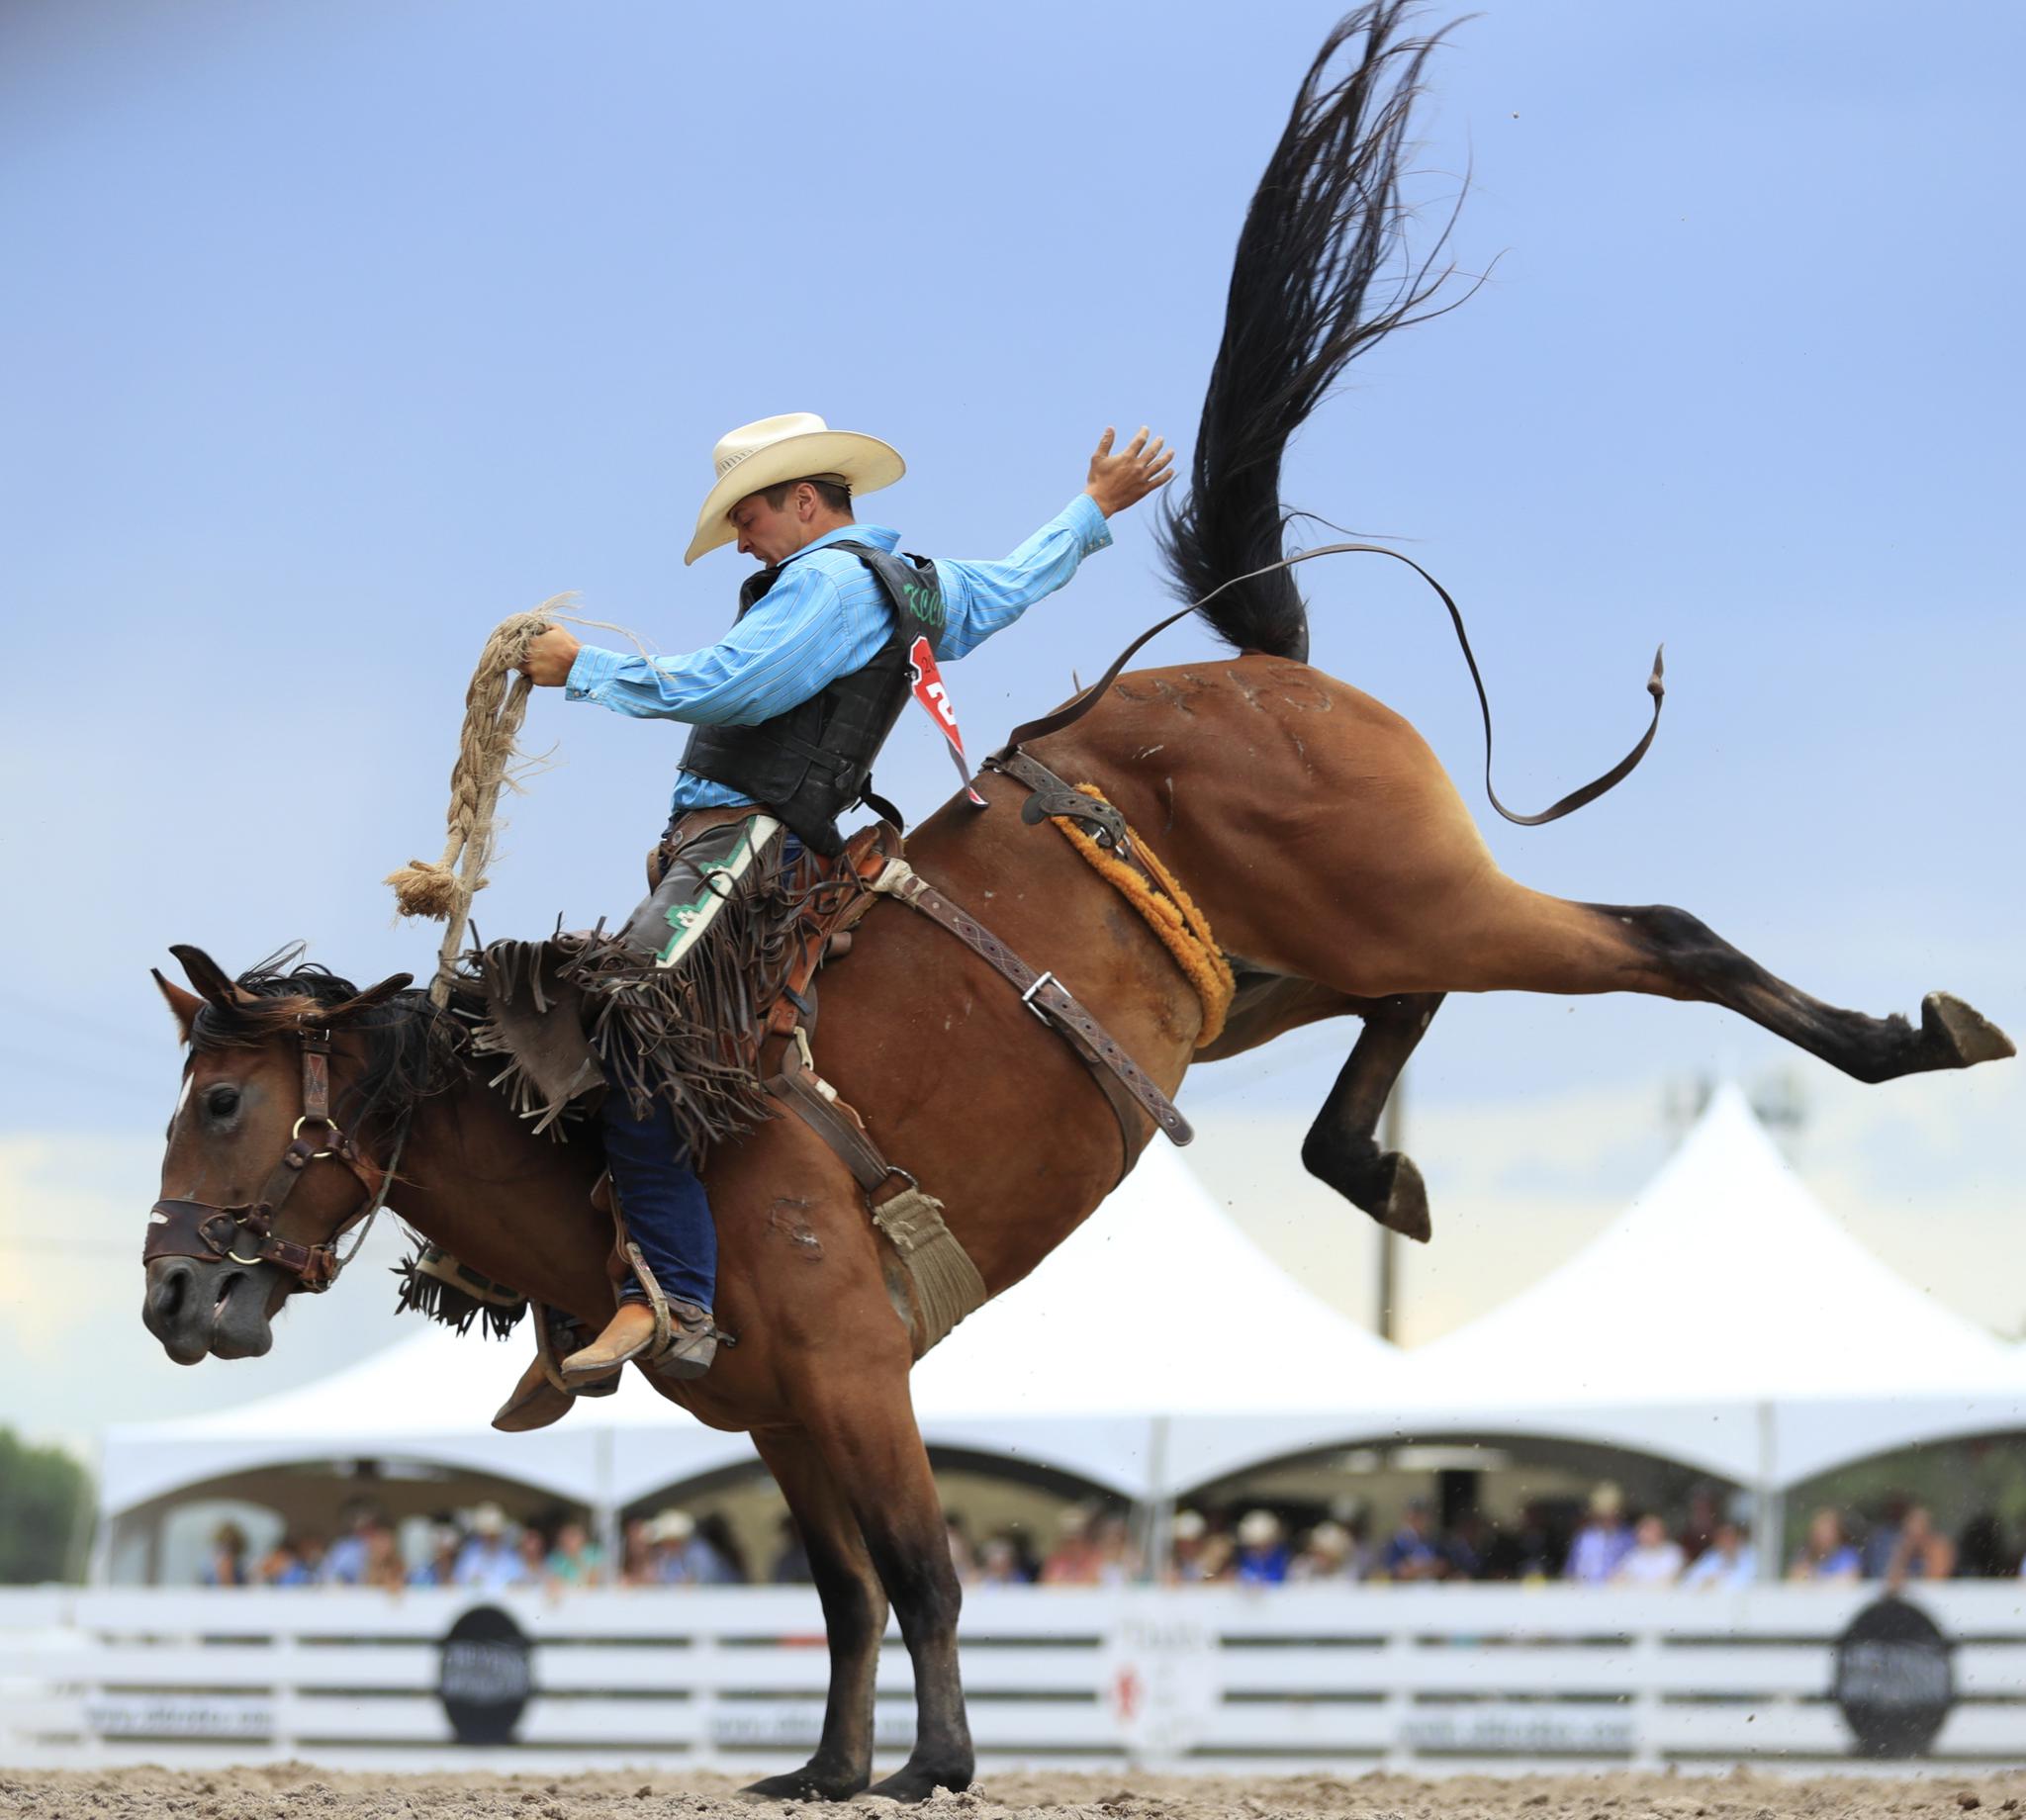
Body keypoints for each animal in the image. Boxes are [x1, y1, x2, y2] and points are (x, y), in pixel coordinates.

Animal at [138, 7, 2009, 1799]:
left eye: (223, 1105)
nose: (165, 1300)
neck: (595, 1144)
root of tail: (1254, 664)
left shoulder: (855, 1376)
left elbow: (922, 1571)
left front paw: (936, 1767)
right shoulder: (776, 1413)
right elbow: (842, 1593)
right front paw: (826, 1769)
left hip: (1428, 898)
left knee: (1660, 940)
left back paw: (1913, 1035)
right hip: (1278, 972)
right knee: (1413, 1005)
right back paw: (1375, 1170)